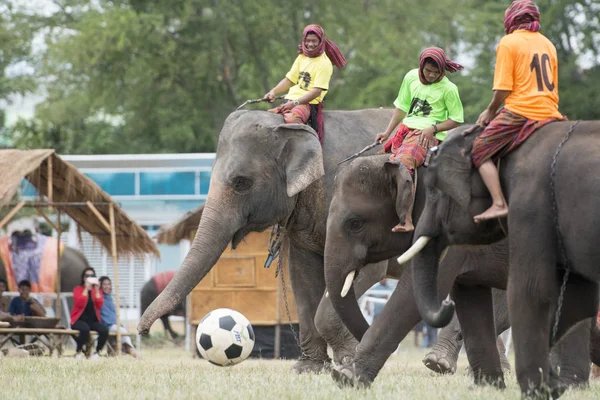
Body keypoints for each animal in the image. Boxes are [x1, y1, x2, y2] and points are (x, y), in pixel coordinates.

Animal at [138, 108, 410, 372]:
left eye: (241, 183)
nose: (142, 330)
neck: (290, 123)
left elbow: (362, 273)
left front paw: (346, 361)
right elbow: (302, 276)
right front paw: (308, 368)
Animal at [324, 155, 596, 390]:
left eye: (355, 224)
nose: (346, 359)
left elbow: (414, 293)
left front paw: (346, 377)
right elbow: (469, 295)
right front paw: (488, 386)